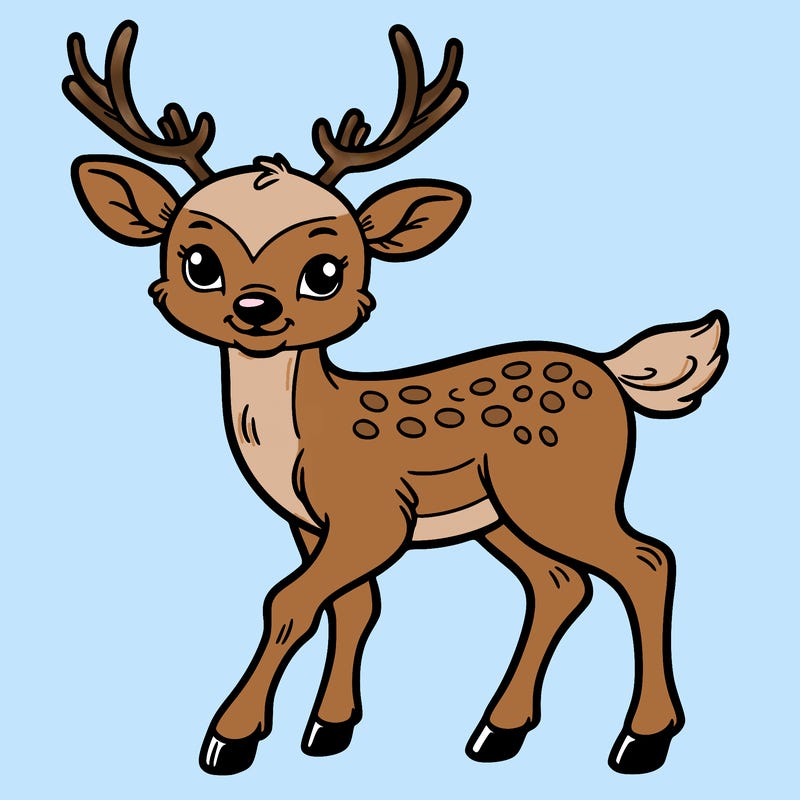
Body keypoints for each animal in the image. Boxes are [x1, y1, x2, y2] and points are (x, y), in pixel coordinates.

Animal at [64, 20, 728, 777]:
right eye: (199, 262)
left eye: (325, 270)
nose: (256, 309)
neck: (304, 433)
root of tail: (612, 370)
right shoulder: (313, 524)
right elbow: (353, 605)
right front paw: (328, 729)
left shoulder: (372, 514)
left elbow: (288, 601)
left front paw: (230, 739)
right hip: (504, 513)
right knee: (561, 583)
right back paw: (498, 731)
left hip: (563, 491)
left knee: (646, 561)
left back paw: (641, 740)